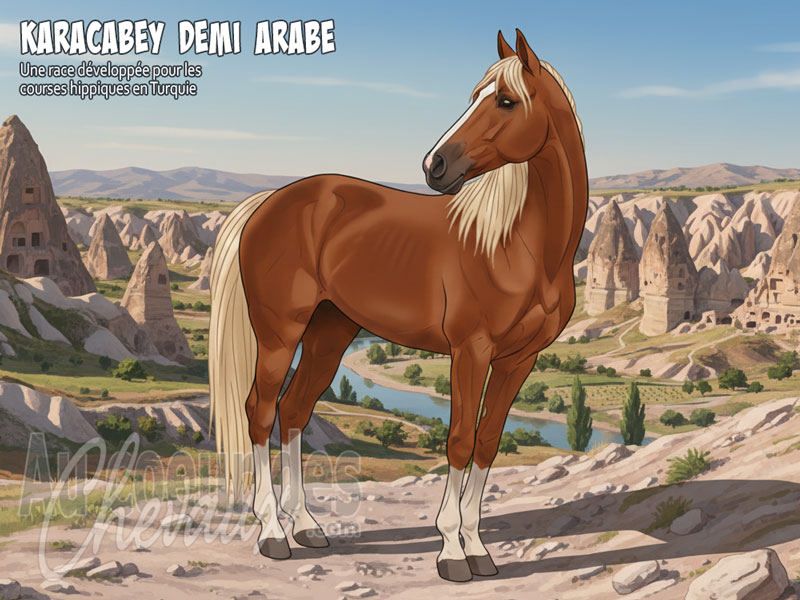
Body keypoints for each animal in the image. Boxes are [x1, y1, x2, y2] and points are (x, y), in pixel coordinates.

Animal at [209, 28, 587, 582]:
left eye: (505, 100)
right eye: (476, 96)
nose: (434, 165)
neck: (517, 246)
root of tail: (269, 201)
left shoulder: (519, 360)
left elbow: (488, 442)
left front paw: (479, 549)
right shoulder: (470, 352)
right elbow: (458, 440)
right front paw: (451, 552)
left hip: (330, 332)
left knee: (294, 409)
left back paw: (307, 526)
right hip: (280, 331)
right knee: (259, 409)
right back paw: (274, 533)